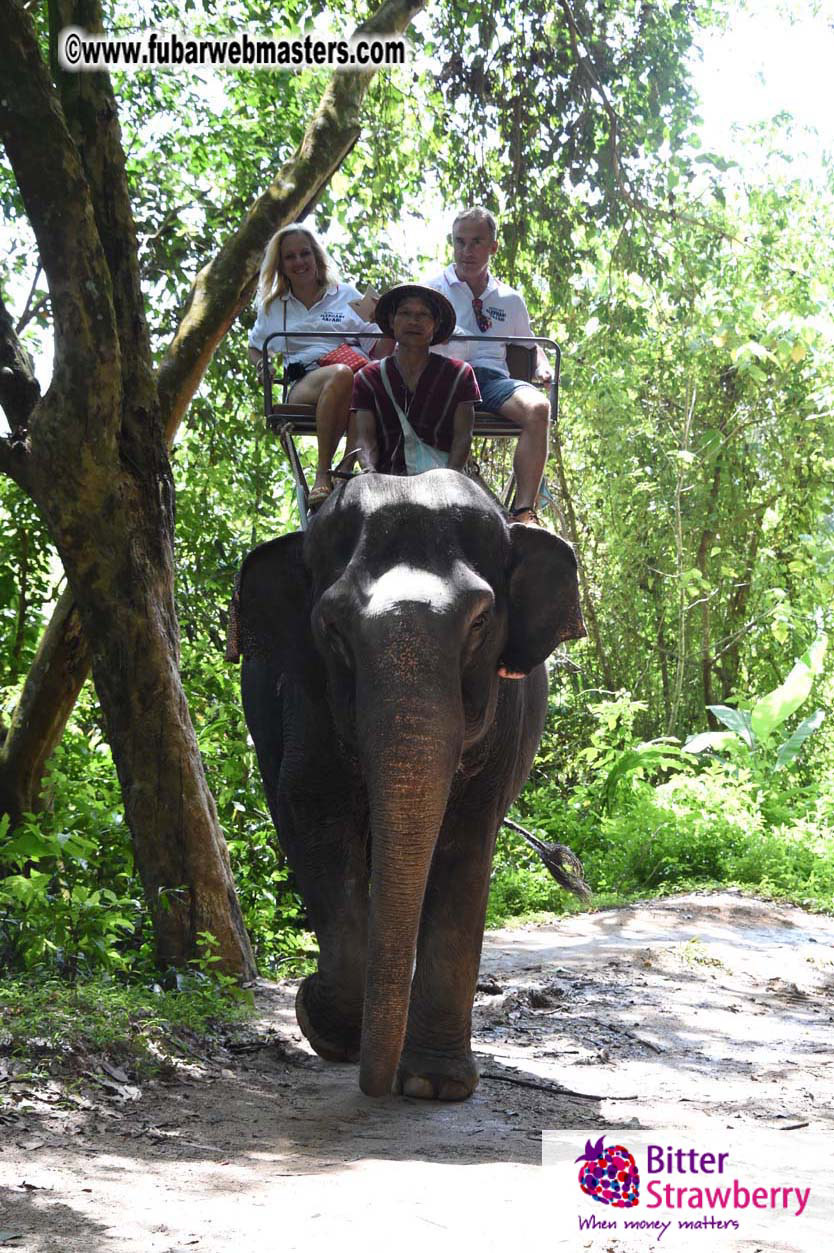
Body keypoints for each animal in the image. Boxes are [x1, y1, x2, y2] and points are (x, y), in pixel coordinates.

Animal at [229, 469, 585, 1100]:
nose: (379, 1084)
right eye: (332, 628)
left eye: (479, 623)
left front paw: (430, 1086)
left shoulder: (507, 716)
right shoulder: (305, 702)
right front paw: (322, 1022)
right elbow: (311, 813)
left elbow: (466, 840)